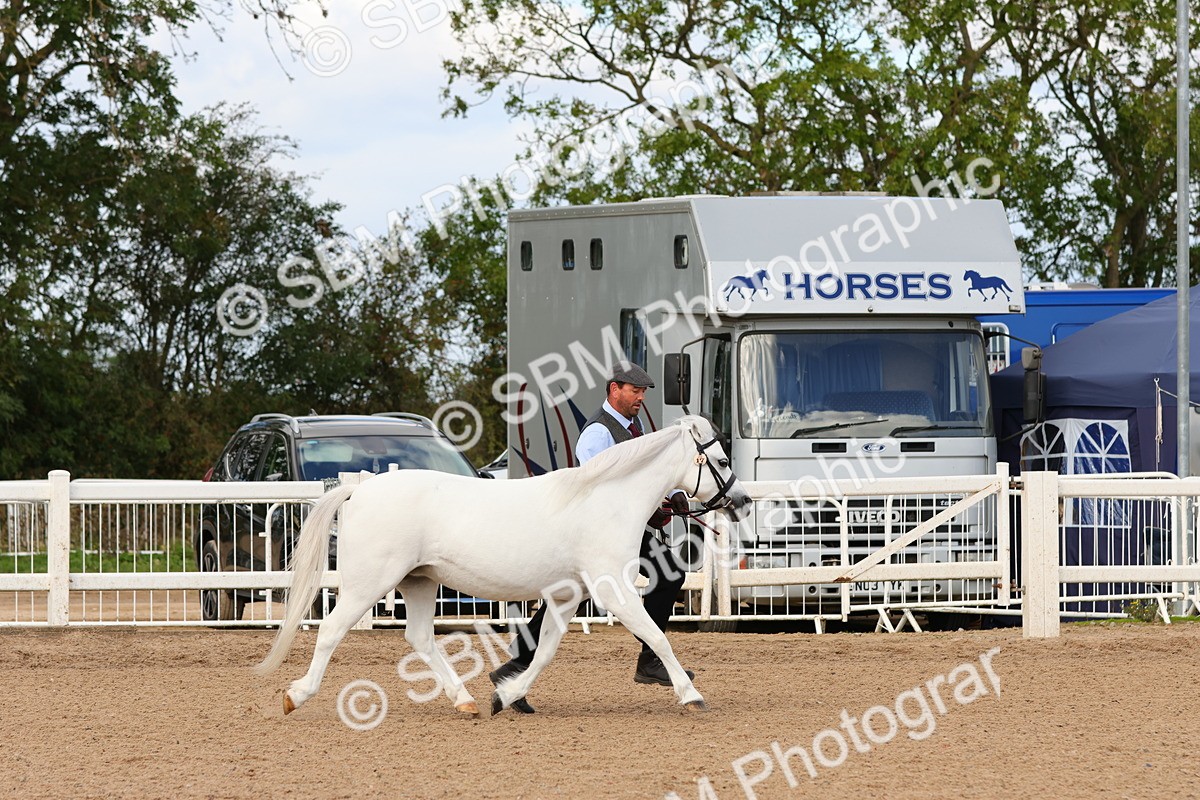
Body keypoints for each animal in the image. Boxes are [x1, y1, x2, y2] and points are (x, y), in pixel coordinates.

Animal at [256, 415, 752, 717]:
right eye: (721, 458)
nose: (742, 500)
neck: (604, 501)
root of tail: (361, 488)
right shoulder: (612, 589)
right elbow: (656, 635)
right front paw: (691, 695)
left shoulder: (568, 595)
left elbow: (546, 648)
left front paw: (509, 695)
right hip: (369, 583)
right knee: (331, 629)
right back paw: (295, 695)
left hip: (419, 583)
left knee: (419, 637)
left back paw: (466, 702)